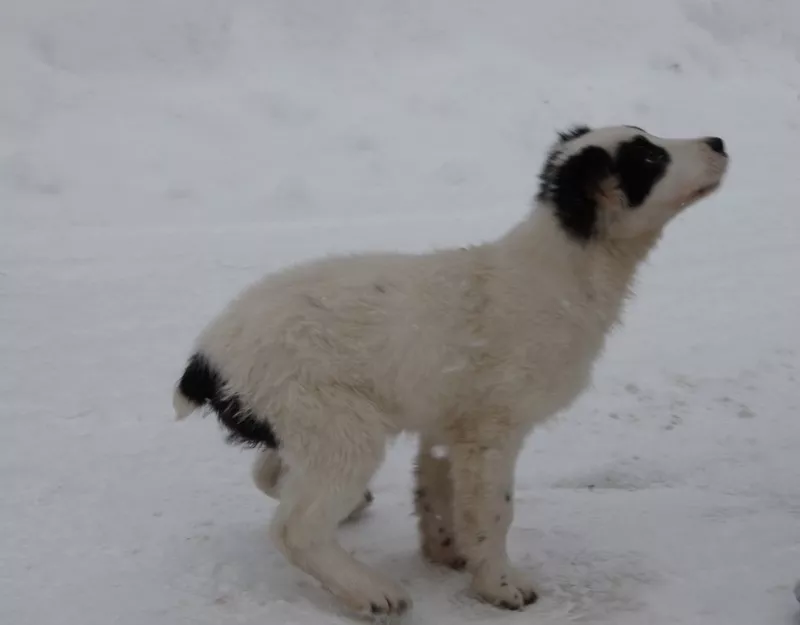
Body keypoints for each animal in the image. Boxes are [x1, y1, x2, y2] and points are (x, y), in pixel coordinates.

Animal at [172, 124, 728, 616]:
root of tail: (206, 356)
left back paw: (353, 512)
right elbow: (494, 511)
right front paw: (500, 584)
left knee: (270, 474)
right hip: (341, 428)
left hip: (302, 426)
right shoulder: (493, 431)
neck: (563, 272)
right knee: (296, 527)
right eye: (650, 159)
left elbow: (440, 494)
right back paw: (371, 592)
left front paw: (446, 552)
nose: (719, 142)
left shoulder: (447, 426)